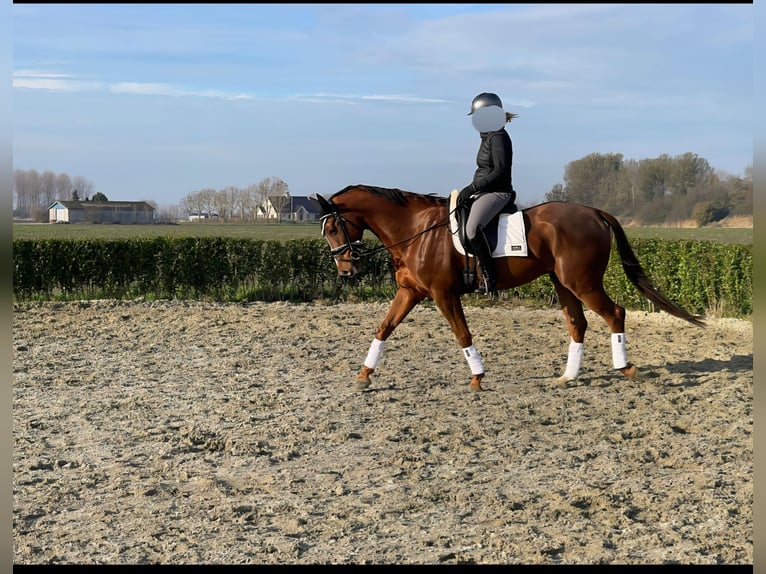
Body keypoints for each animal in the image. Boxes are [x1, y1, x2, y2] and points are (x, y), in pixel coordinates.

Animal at [313, 184, 705, 392]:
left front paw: (477, 377)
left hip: (582, 282)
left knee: (615, 314)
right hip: (563, 283)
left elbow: (462, 334)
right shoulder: (410, 293)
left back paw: (626, 368)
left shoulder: (443, 295)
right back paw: (568, 376)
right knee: (578, 323)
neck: (416, 231)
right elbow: (384, 328)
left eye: (332, 228)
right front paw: (364, 375)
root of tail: (594, 212)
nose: (346, 270)